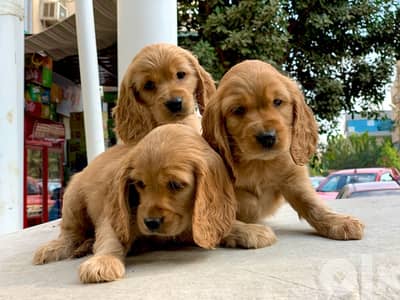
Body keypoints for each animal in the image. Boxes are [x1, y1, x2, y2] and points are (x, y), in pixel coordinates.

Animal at [33, 124, 238, 284]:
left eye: (175, 185)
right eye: (139, 184)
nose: (151, 223)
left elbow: (225, 225)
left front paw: (243, 232)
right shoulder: (119, 215)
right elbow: (110, 237)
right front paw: (103, 261)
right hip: (73, 199)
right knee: (70, 233)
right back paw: (54, 248)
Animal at [203, 59, 366, 247]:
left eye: (277, 102)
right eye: (238, 110)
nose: (267, 137)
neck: (259, 163)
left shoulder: (293, 178)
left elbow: (311, 202)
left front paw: (339, 222)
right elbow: (215, 221)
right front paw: (249, 231)